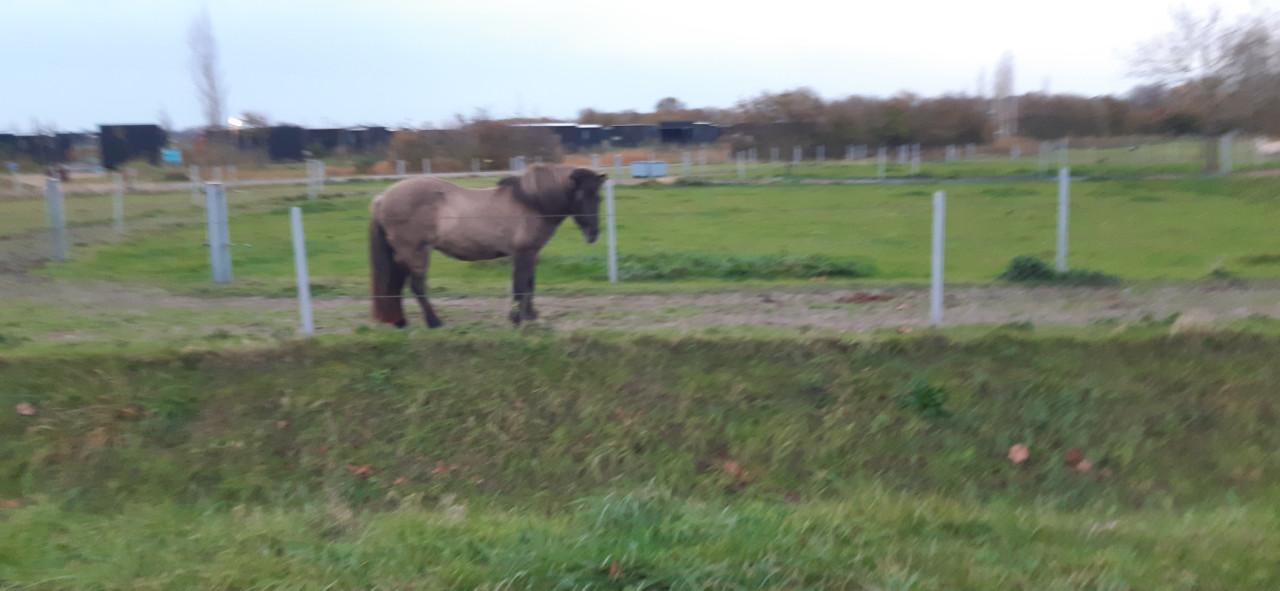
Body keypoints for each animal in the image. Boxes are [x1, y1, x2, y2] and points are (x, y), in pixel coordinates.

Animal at [368, 164, 607, 328]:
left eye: (598, 197)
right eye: (580, 195)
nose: (593, 234)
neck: (531, 203)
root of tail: (383, 198)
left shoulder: (532, 254)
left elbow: (529, 285)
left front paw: (530, 316)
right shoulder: (523, 253)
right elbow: (521, 286)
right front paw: (516, 319)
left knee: (397, 285)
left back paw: (400, 321)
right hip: (415, 252)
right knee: (416, 286)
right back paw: (434, 322)